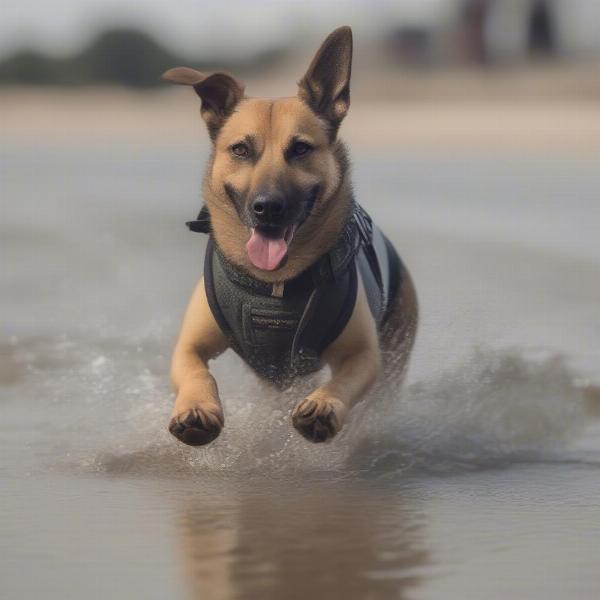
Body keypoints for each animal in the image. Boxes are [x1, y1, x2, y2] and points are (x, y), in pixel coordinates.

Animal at [163, 25, 418, 446]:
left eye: (300, 149)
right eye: (240, 149)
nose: (267, 207)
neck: (275, 284)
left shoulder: (364, 354)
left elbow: (345, 380)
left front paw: (323, 406)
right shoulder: (190, 345)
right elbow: (197, 371)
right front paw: (197, 409)